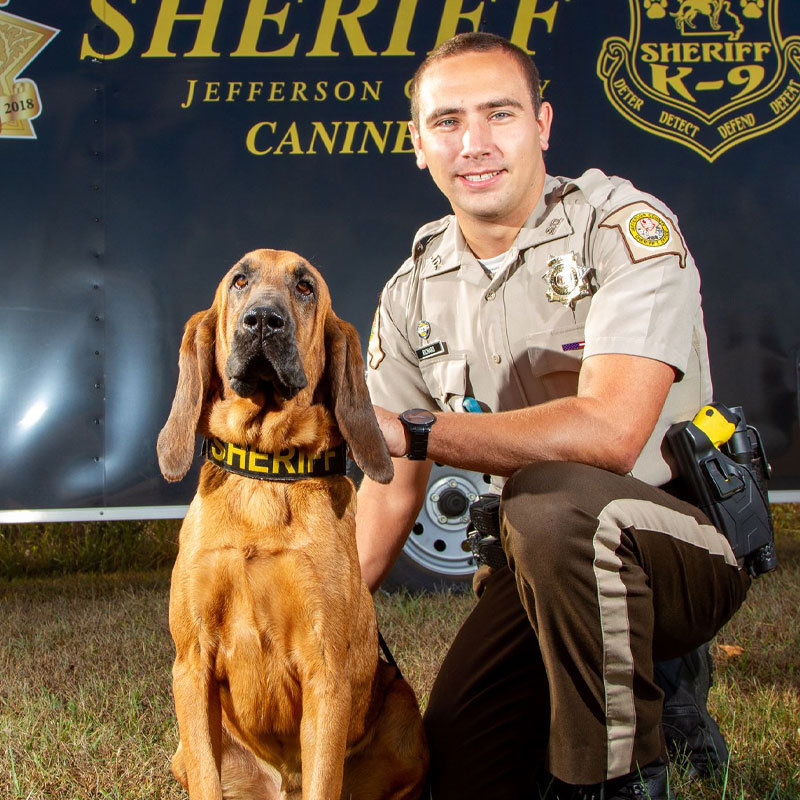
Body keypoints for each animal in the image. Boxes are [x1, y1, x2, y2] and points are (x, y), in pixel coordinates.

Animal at [159, 250, 428, 800]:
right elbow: (206, 778)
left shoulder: (326, 672)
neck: (265, 474)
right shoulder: (191, 665)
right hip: (180, 754)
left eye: (305, 287)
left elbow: (324, 779)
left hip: (405, 714)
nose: (263, 321)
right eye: (239, 281)